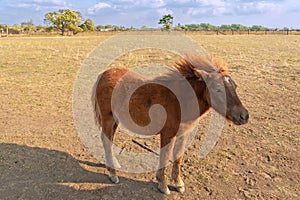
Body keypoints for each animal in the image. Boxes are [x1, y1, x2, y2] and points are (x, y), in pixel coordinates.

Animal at [91, 54, 248, 195]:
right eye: (217, 89)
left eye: (235, 86)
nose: (244, 116)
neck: (180, 101)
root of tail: (103, 74)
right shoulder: (167, 135)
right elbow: (165, 158)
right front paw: (163, 185)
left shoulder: (183, 134)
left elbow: (178, 157)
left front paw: (178, 184)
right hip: (108, 118)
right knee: (106, 140)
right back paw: (113, 174)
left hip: (116, 120)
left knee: (109, 139)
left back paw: (112, 163)